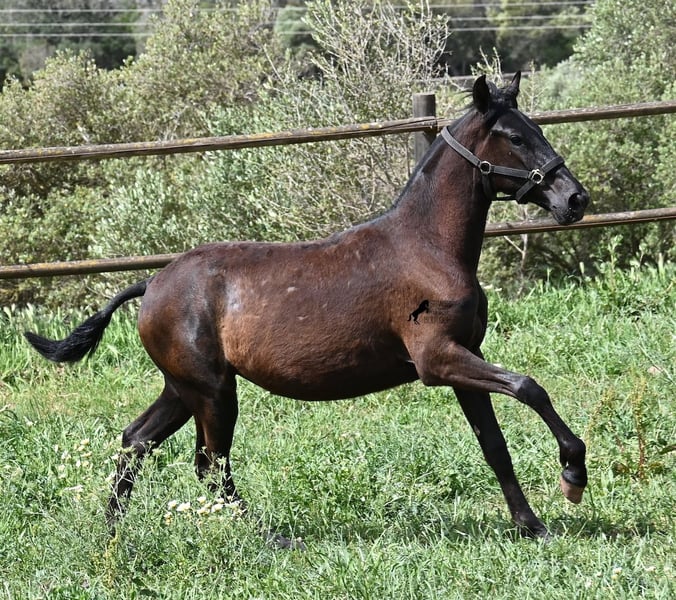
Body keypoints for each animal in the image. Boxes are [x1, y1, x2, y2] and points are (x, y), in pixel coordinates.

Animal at [25, 72, 590, 545]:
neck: (428, 247)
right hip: (212, 392)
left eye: (536, 128)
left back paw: (113, 532)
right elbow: (529, 387)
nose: (575, 199)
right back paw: (269, 537)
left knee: (137, 441)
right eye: (514, 136)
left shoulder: (464, 359)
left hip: (185, 389)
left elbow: (494, 445)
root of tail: (151, 285)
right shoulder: (438, 360)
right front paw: (573, 475)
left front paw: (533, 525)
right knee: (210, 465)